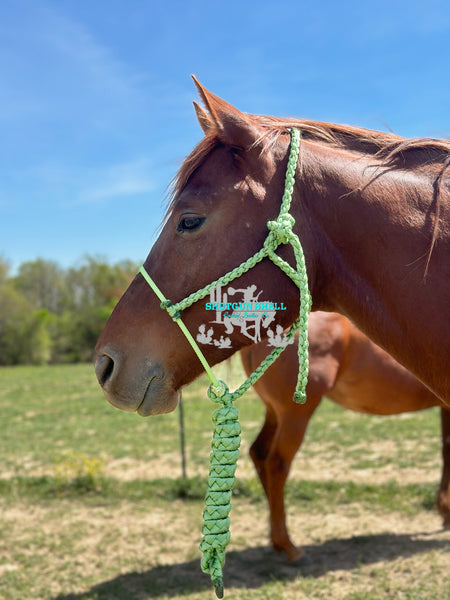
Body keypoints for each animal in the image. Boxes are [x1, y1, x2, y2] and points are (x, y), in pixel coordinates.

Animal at [241, 312, 450, 560]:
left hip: (274, 413)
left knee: (259, 453)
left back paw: (276, 538)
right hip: (295, 416)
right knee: (277, 464)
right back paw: (287, 544)